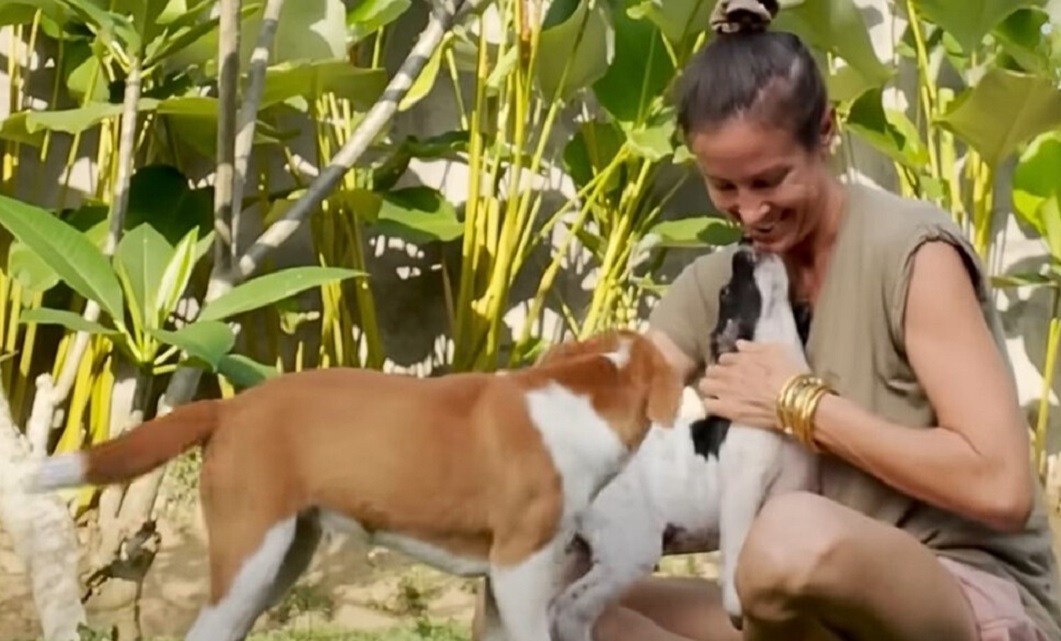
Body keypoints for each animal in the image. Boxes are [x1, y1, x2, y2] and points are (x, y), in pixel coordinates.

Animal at [29, 331, 683, 641]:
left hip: (284, 558)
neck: (589, 390)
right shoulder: (520, 572)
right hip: (249, 557)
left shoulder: (502, 585)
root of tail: (233, 405)